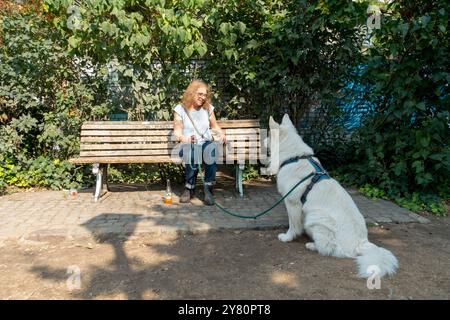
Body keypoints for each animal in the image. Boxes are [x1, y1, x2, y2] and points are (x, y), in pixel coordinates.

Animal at [268, 114, 398, 278]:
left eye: (268, 135)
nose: (262, 142)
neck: (295, 157)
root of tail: (361, 243)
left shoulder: (292, 203)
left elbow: (293, 224)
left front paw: (287, 237)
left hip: (317, 217)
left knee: (330, 250)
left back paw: (312, 245)